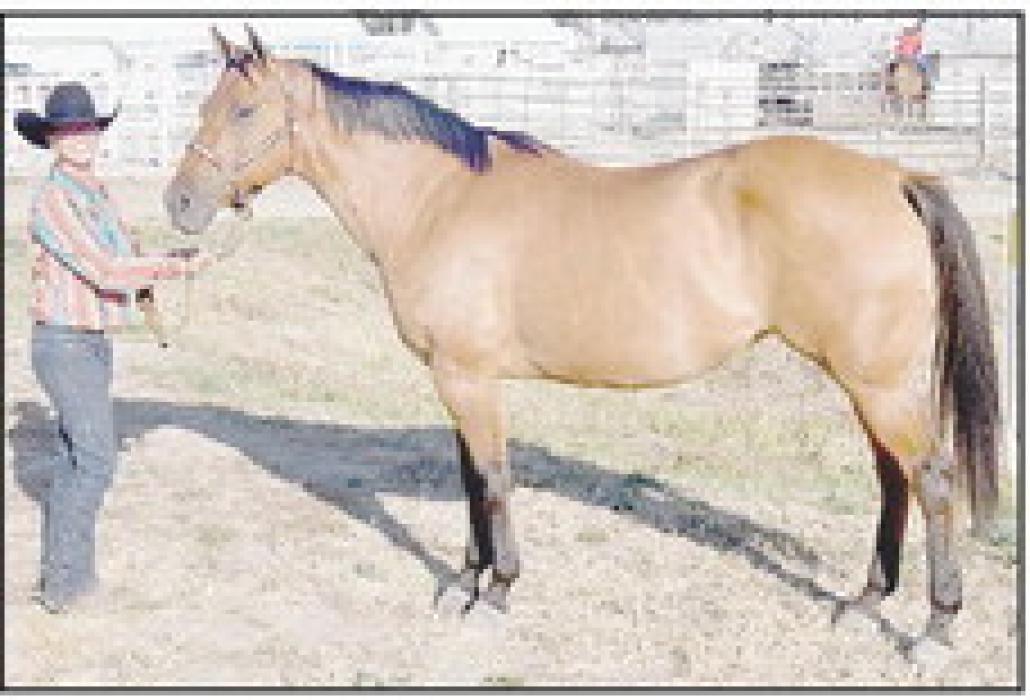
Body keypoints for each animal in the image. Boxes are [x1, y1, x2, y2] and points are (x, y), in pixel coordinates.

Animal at [164, 26, 999, 663]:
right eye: (207, 105)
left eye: (245, 109)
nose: (179, 203)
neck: (438, 201)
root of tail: (893, 175)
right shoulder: (460, 379)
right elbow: (472, 480)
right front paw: (464, 582)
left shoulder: (467, 379)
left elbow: (493, 481)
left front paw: (496, 595)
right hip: (868, 384)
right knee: (892, 481)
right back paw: (865, 603)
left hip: (879, 385)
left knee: (931, 482)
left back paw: (933, 630)